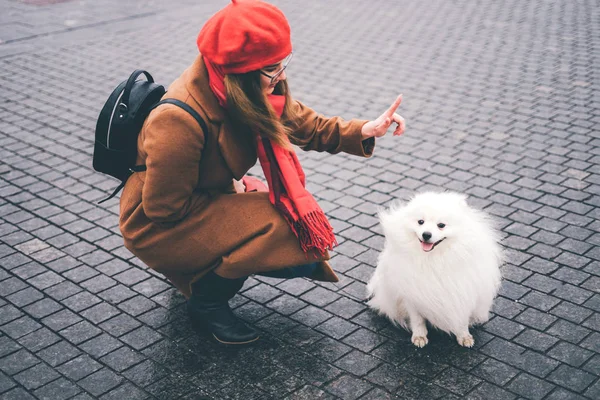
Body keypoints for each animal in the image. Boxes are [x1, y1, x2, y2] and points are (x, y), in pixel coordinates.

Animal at [366, 191, 502, 346]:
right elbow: (417, 319)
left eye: (441, 225)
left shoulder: (462, 291)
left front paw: (464, 336)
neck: (433, 259)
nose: (426, 234)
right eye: (420, 222)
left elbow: (462, 318)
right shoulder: (411, 294)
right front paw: (419, 336)